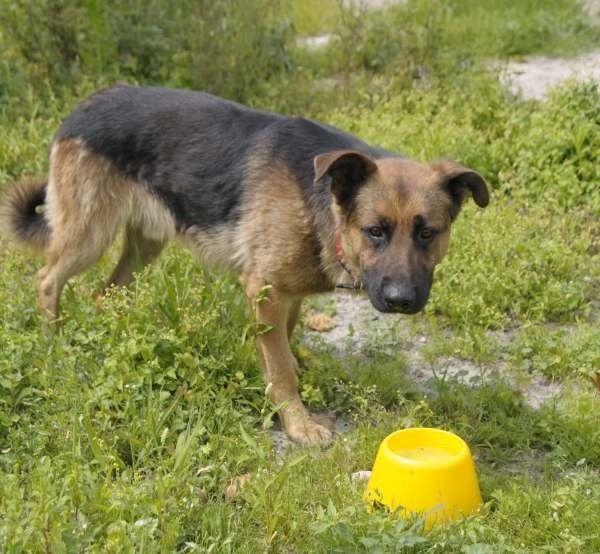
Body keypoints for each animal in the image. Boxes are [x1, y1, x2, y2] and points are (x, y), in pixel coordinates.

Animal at [0, 85, 488, 444]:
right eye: (375, 231)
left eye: (428, 233)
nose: (401, 300)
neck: (322, 205)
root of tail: (83, 106)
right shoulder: (265, 290)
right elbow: (280, 369)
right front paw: (298, 423)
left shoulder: (284, 293)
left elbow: (283, 348)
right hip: (89, 235)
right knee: (47, 280)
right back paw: (55, 343)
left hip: (144, 245)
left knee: (104, 293)